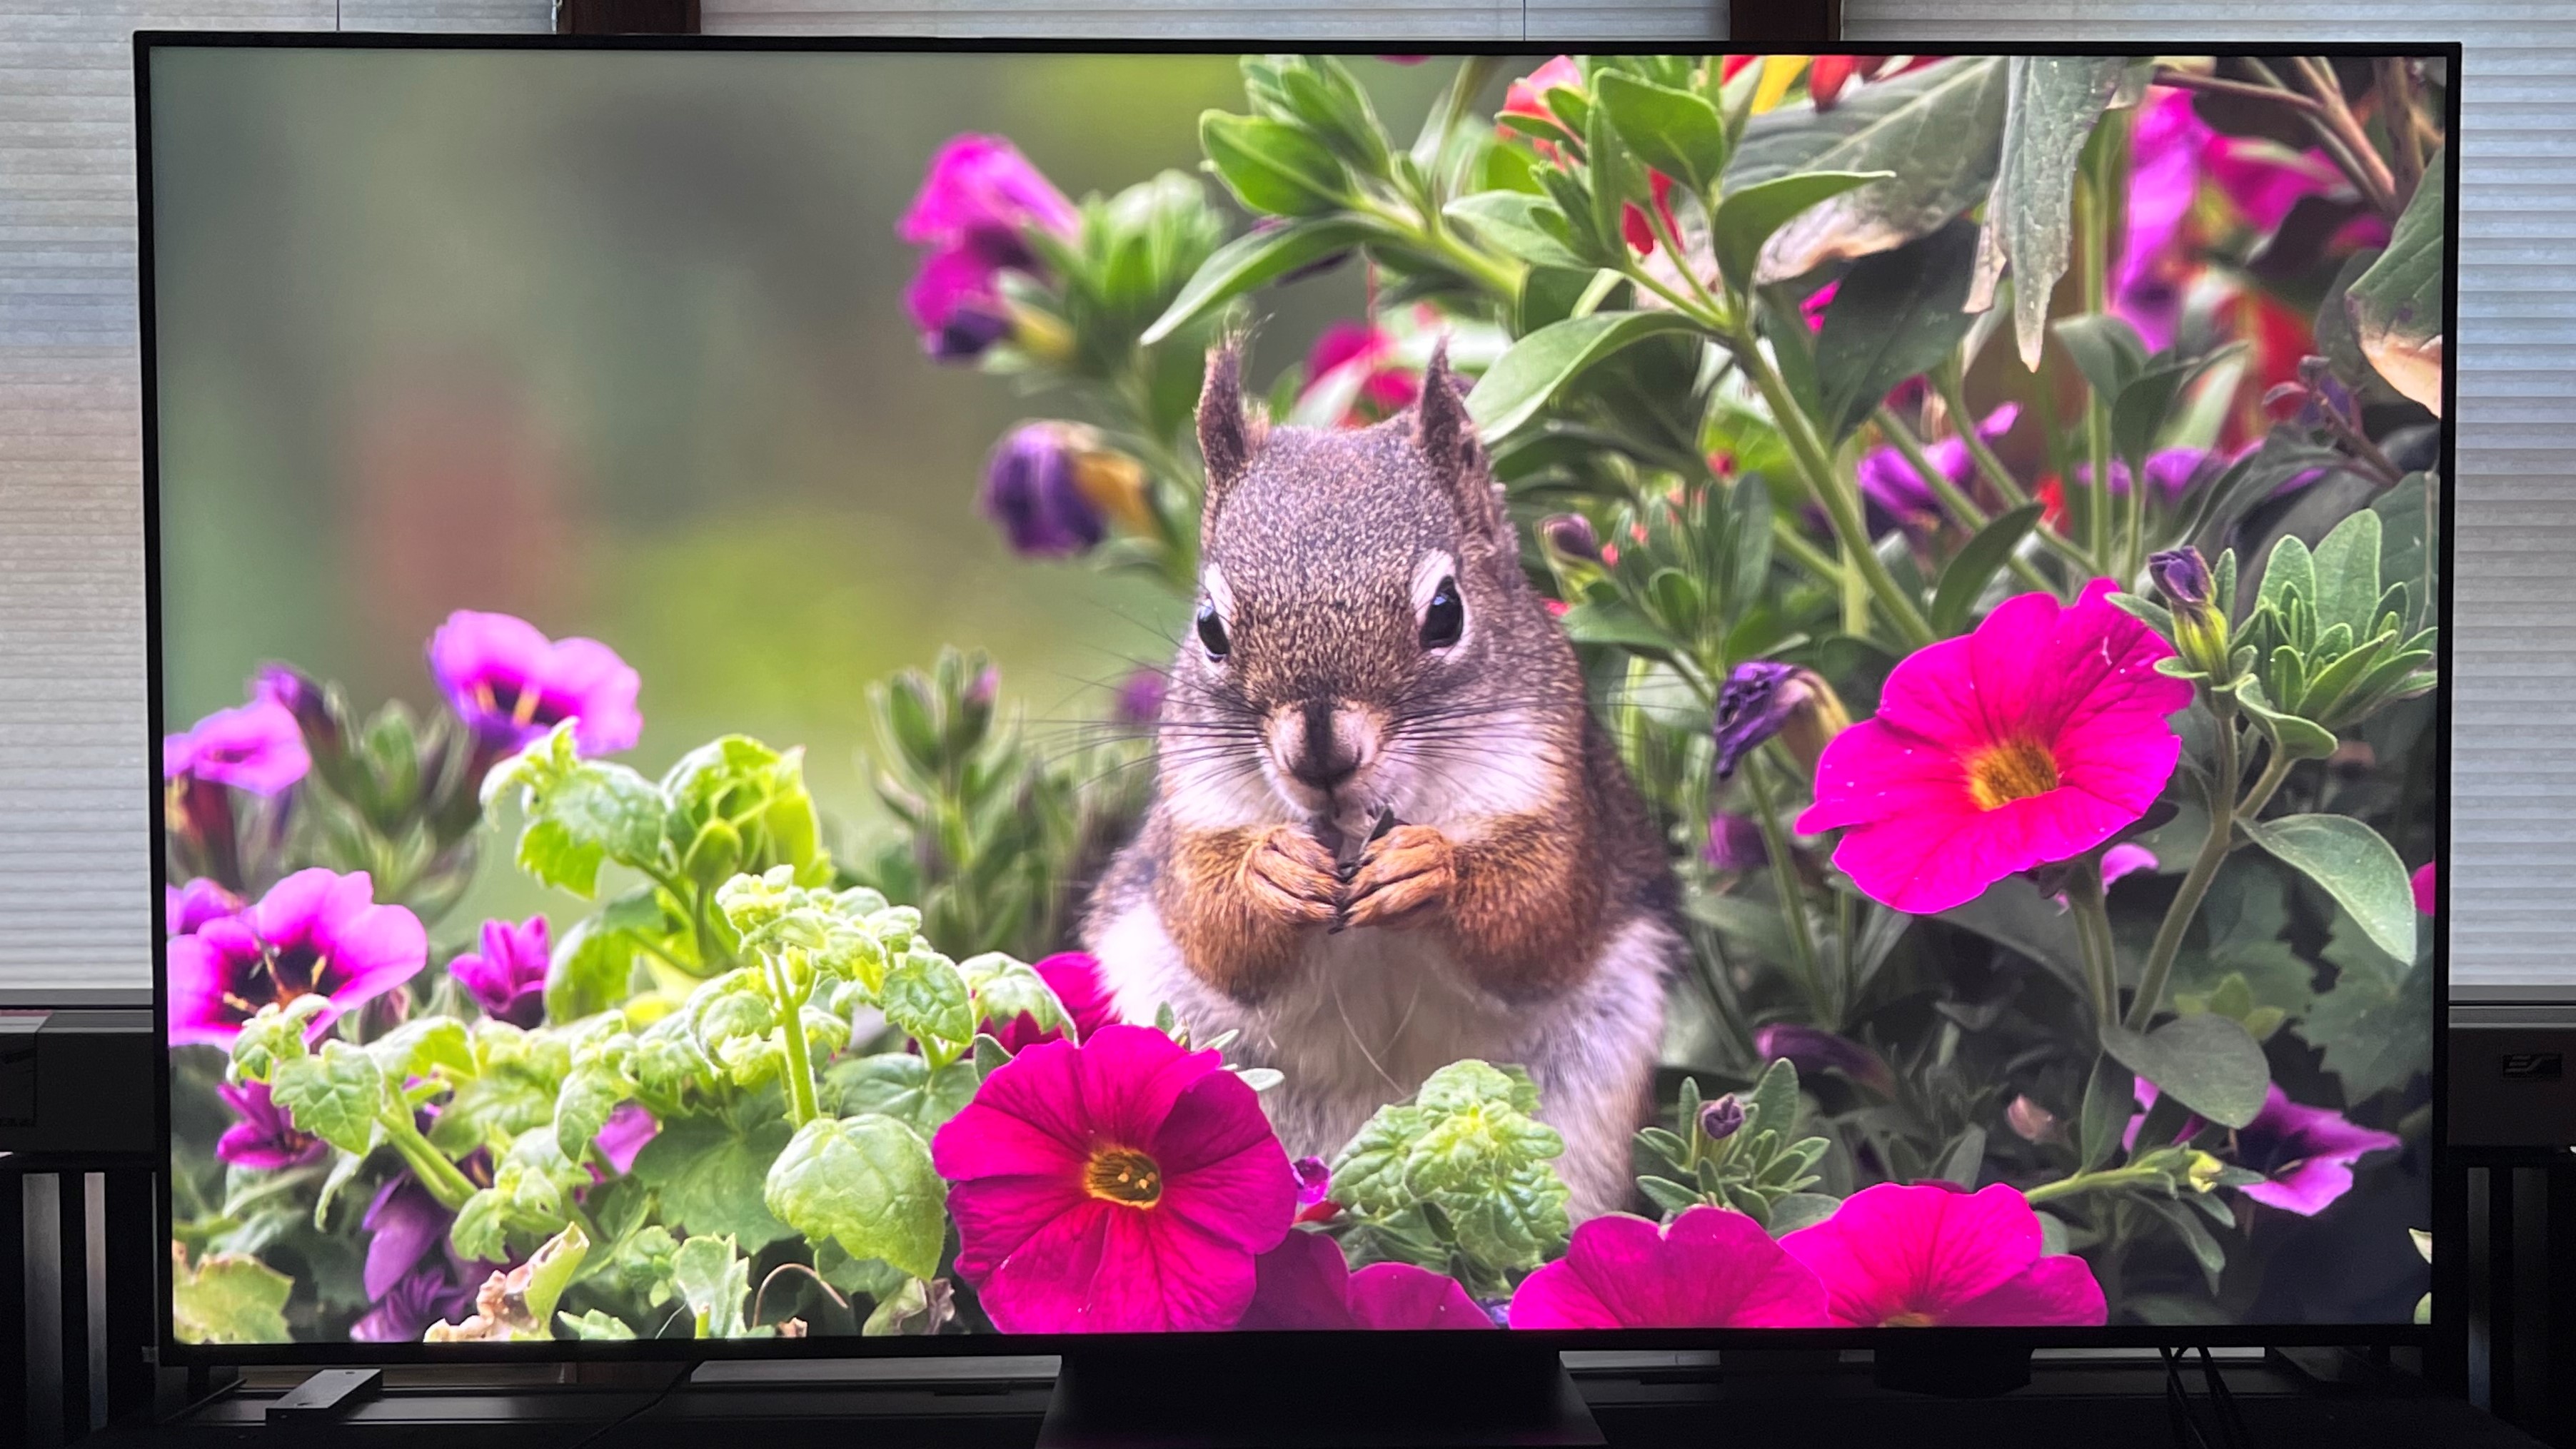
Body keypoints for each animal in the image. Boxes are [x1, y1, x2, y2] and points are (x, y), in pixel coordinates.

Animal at [1081, 341, 1683, 1219]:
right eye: (1210, 628)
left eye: (1446, 611)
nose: (1321, 756)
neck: (1348, 824)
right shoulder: (1189, 819)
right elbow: (1213, 928)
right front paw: (1270, 870)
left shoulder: (1560, 797)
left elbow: (1536, 918)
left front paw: (1429, 865)